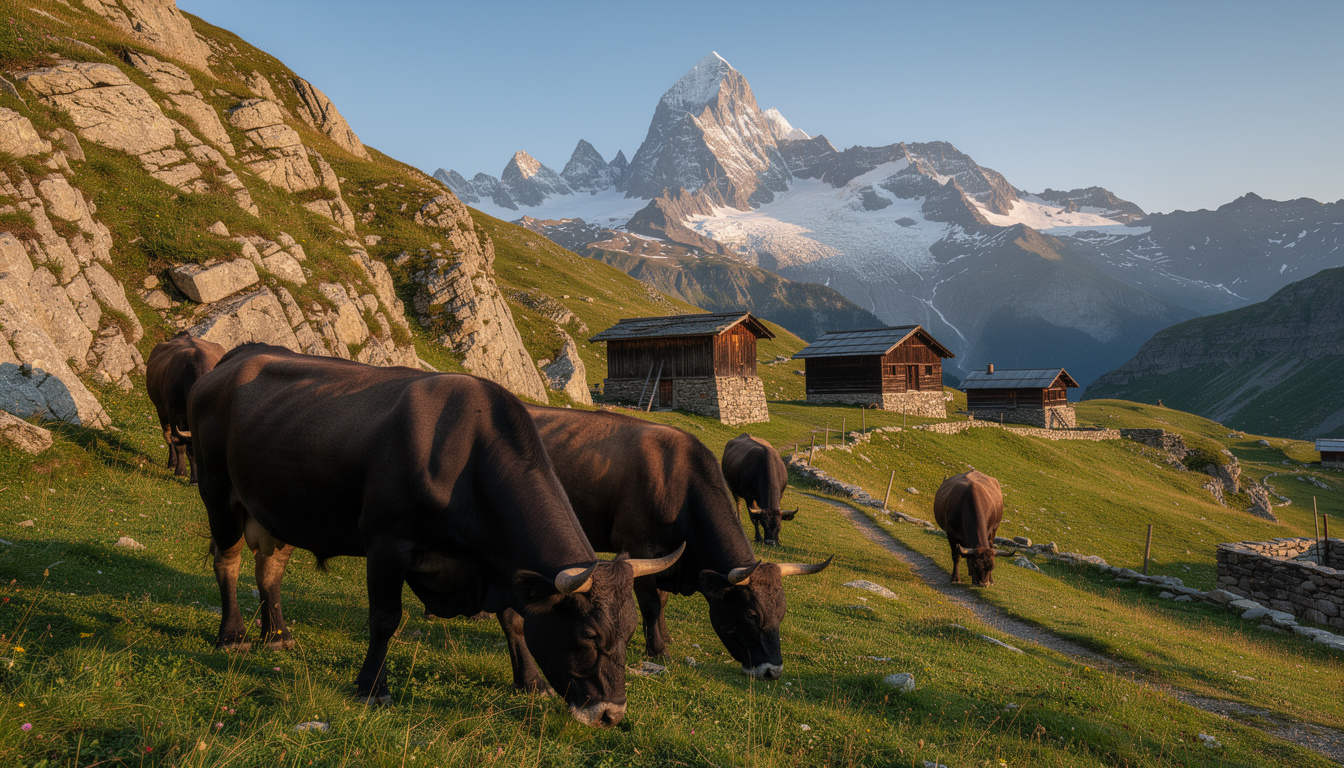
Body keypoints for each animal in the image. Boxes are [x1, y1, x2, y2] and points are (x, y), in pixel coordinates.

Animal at [145, 331, 225, 484]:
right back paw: (172, 463)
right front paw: (184, 473)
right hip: (161, 409)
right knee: (168, 435)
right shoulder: (173, 412)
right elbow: (180, 443)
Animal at [188, 344, 681, 727]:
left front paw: (530, 681)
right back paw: (233, 635)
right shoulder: (386, 543)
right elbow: (385, 619)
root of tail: (236, 357)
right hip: (218, 493)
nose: (610, 713)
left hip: (279, 510)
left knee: (269, 568)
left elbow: (515, 620)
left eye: (629, 630)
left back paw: (278, 634)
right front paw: (372, 687)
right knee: (227, 561)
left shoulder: (502, 568)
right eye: (589, 634)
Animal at [524, 404, 831, 680]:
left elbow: (662, 602)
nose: (772, 671)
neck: (676, 484)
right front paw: (658, 649)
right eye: (752, 614)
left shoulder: (668, 557)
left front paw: (663, 638)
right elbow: (650, 604)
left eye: (782, 611)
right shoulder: (638, 549)